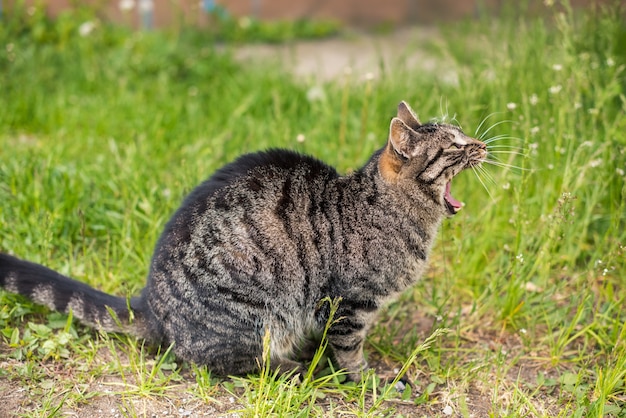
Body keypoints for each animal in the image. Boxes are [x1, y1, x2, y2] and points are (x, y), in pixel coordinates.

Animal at [0, 102, 486, 382]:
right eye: (455, 144)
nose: (482, 144)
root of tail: (152, 305)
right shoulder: (350, 303)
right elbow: (350, 351)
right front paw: (367, 378)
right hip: (257, 314)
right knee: (223, 363)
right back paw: (294, 369)